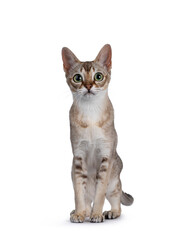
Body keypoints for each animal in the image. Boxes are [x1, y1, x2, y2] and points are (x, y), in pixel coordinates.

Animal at [62, 43, 134, 223]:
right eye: (77, 78)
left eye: (98, 76)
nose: (88, 86)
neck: (91, 113)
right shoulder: (78, 157)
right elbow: (79, 194)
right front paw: (80, 213)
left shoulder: (106, 156)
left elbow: (100, 194)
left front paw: (97, 214)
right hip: (72, 172)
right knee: (87, 198)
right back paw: (82, 212)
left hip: (114, 180)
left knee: (116, 200)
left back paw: (110, 212)